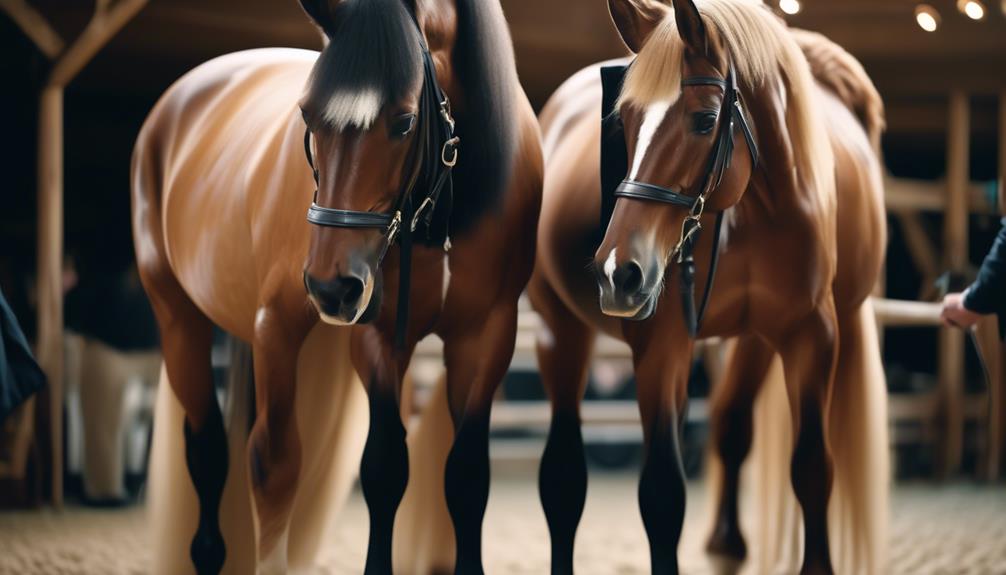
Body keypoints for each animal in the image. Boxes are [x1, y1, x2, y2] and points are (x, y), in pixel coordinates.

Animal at [133, 1, 543, 575]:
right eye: (308, 117)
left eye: (404, 121)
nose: (331, 287)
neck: (444, 213)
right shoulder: (371, 338)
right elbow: (375, 469)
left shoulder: (486, 339)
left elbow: (465, 479)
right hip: (186, 320)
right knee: (218, 453)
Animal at [535, 1, 889, 575]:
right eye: (623, 122)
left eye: (704, 120)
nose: (617, 272)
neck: (752, 211)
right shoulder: (662, 345)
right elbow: (662, 493)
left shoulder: (811, 334)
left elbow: (812, 467)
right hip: (557, 328)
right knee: (564, 476)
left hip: (751, 341)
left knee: (731, 423)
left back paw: (727, 540)